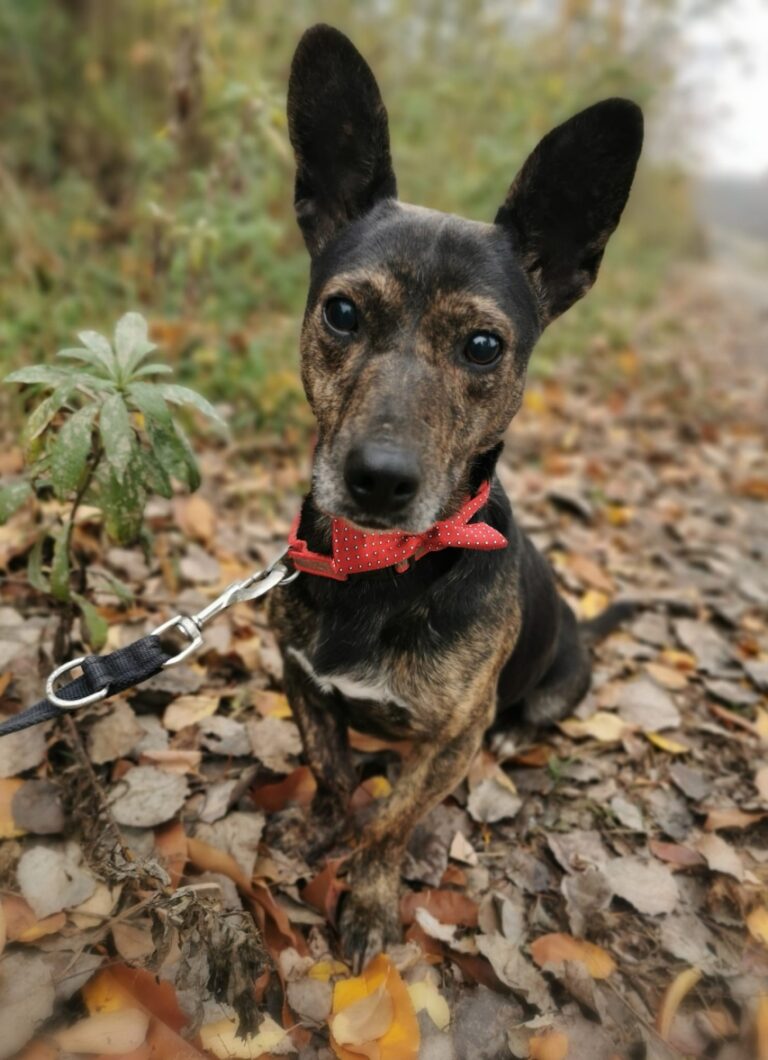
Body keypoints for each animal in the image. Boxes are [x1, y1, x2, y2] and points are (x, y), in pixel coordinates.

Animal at [270, 22, 639, 970]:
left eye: (482, 345)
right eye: (342, 313)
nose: (379, 478)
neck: (381, 569)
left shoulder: (447, 741)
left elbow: (393, 824)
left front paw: (366, 897)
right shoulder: (301, 682)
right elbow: (332, 771)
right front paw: (321, 827)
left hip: (555, 681)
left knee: (532, 713)